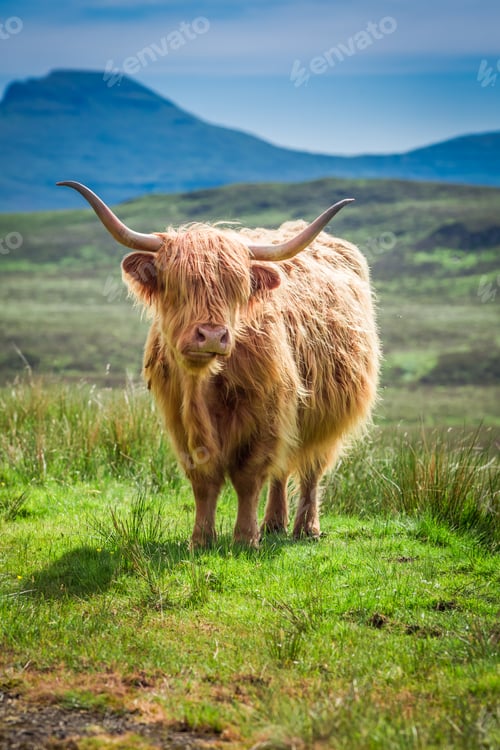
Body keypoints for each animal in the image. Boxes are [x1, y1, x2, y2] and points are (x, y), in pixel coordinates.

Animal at [57, 181, 380, 548]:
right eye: (178, 284)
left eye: (235, 288)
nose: (211, 335)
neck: (202, 385)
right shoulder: (180, 420)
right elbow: (203, 480)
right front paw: (201, 538)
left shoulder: (266, 414)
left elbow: (249, 477)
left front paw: (245, 538)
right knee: (283, 469)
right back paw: (274, 524)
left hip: (326, 413)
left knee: (311, 467)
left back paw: (306, 528)